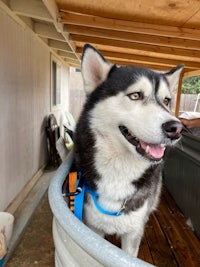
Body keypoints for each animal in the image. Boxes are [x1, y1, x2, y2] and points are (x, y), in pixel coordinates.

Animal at [74, 45, 184, 258]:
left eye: (167, 101)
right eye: (135, 95)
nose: (176, 128)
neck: (120, 169)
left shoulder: (133, 234)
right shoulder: (94, 228)